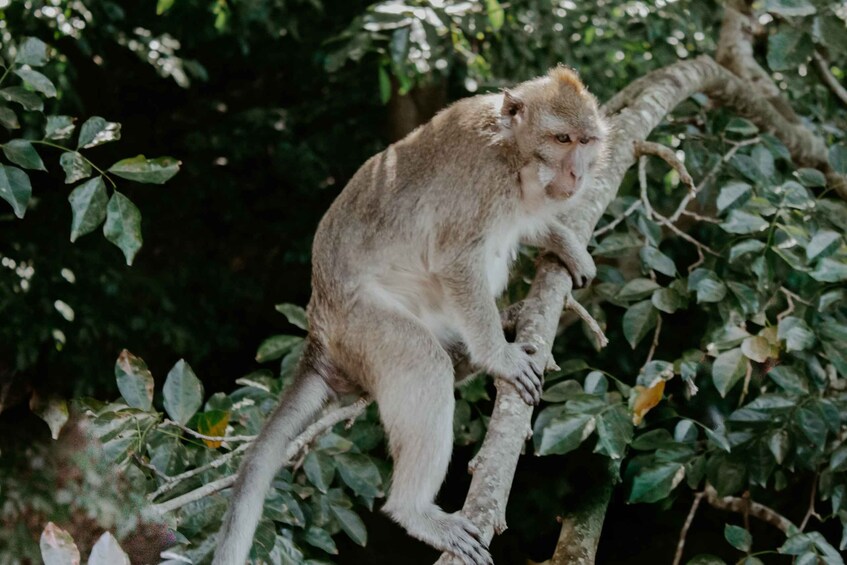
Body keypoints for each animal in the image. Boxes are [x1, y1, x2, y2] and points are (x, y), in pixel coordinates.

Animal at [214, 66, 608, 564]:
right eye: (561, 138)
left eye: (585, 141)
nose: (577, 172)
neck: (513, 154)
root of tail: (319, 329)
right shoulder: (480, 184)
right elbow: (456, 261)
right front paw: (500, 356)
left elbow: (527, 226)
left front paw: (565, 244)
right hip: (362, 327)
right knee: (423, 364)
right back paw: (413, 510)